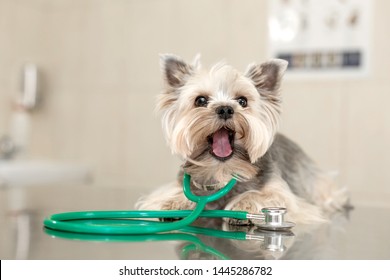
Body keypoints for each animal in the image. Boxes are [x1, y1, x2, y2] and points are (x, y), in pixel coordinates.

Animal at [136, 54, 348, 225]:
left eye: (242, 101)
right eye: (200, 100)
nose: (225, 109)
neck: (222, 170)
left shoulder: (286, 196)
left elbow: (268, 195)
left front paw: (245, 204)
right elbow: (168, 194)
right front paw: (174, 200)